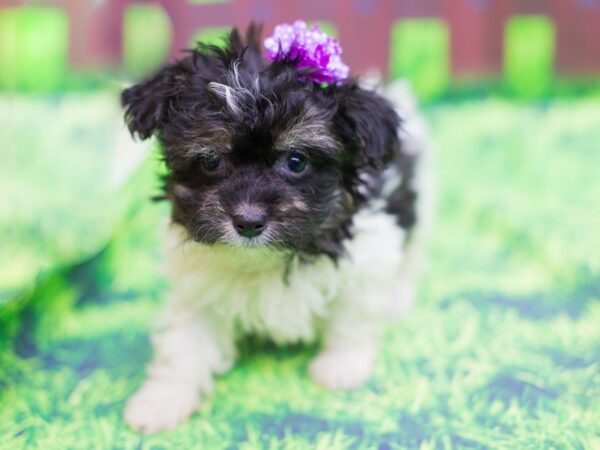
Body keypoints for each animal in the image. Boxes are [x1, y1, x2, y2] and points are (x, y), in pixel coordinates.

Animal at [122, 24, 432, 432]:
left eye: (296, 161)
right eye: (211, 160)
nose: (249, 222)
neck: (268, 257)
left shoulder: (369, 256)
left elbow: (353, 316)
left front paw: (342, 366)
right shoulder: (197, 285)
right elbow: (184, 343)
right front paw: (161, 400)